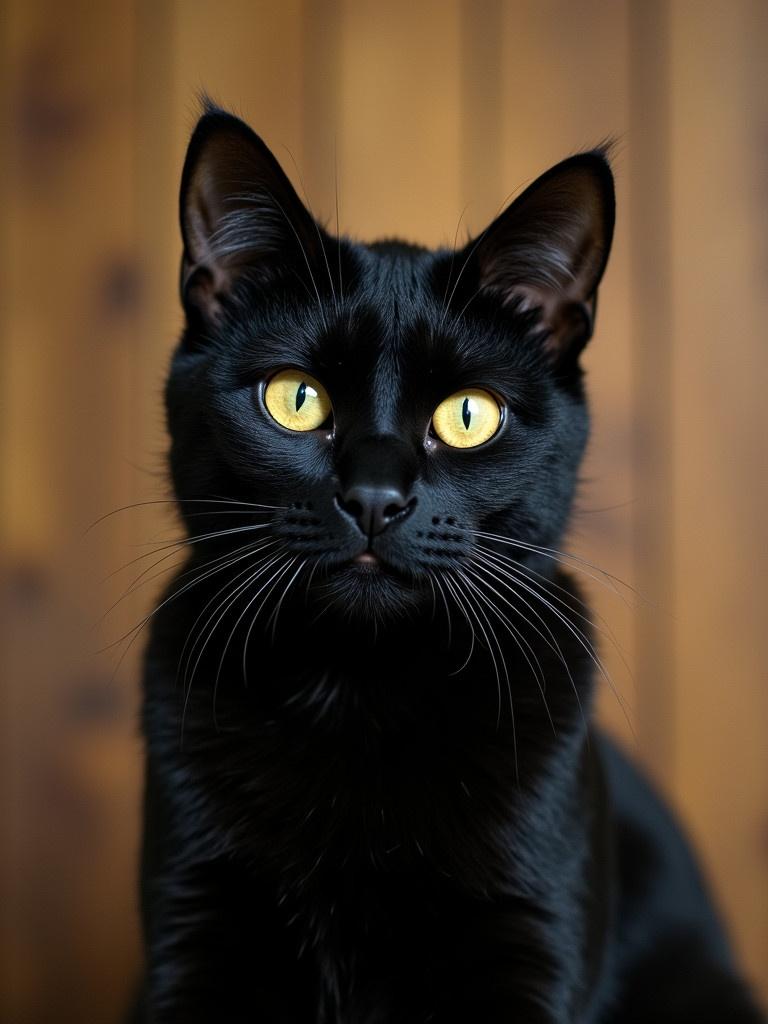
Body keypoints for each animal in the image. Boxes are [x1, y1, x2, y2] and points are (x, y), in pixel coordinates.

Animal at [135, 103, 765, 1024]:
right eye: (296, 399)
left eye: (469, 416)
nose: (373, 497)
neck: (361, 692)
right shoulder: (192, 928)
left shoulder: (530, 940)